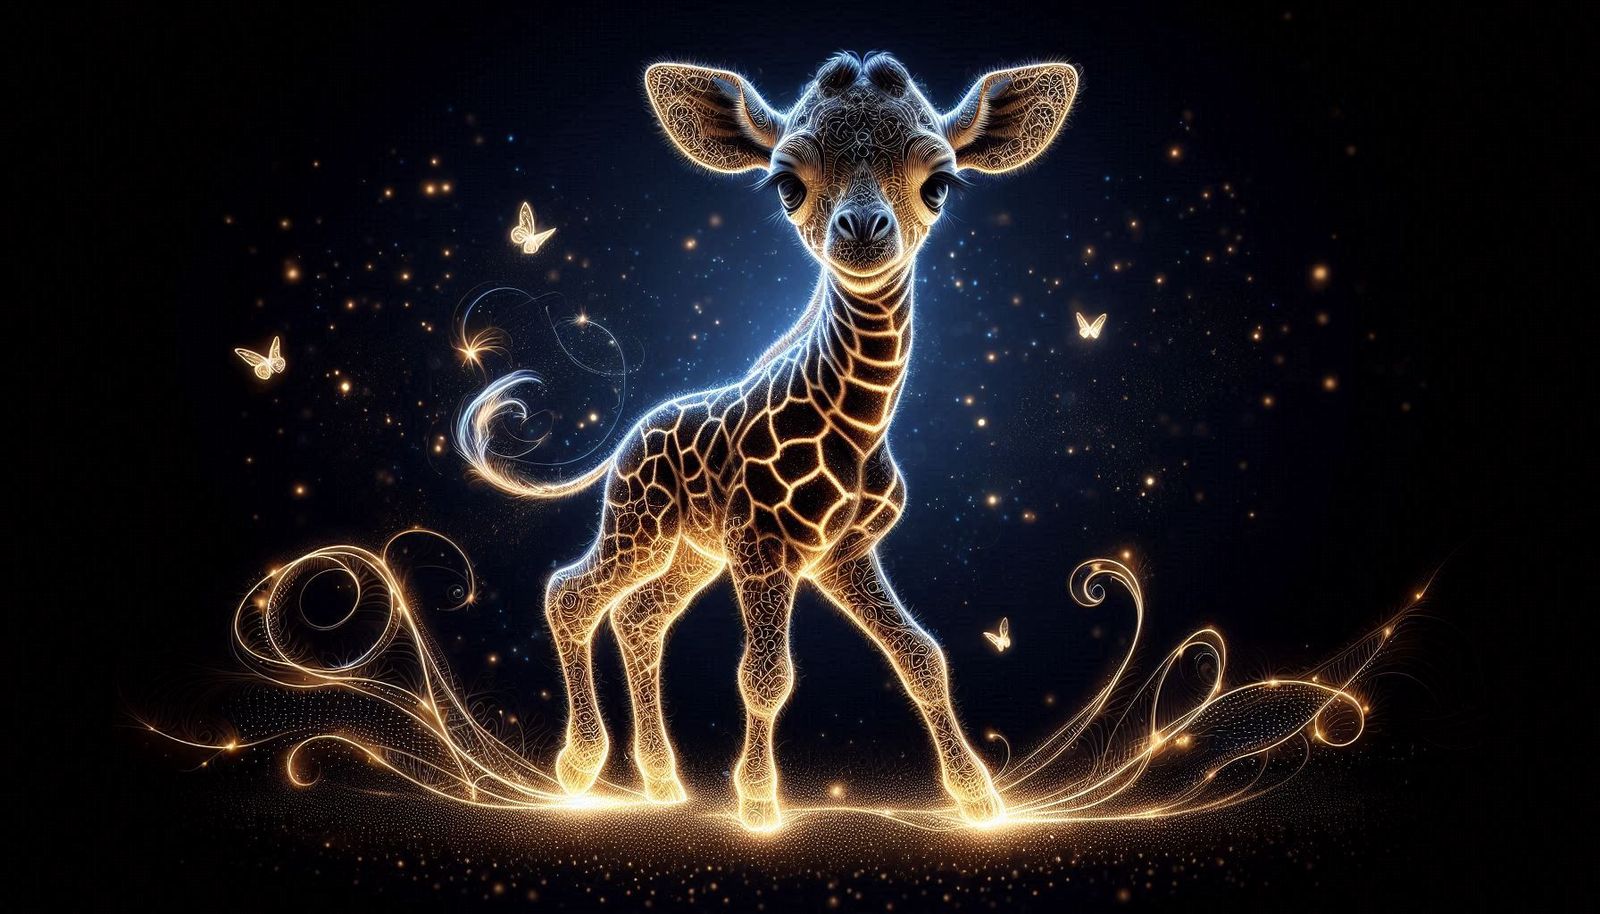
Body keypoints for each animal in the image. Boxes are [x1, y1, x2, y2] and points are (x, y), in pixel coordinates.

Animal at [458, 51, 1079, 832]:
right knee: (571, 592)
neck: (860, 427)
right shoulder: (763, 547)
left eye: (938, 183)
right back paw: (578, 767)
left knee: (638, 616)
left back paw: (662, 781)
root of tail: (628, 438)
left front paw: (979, 800)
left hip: (692, 553)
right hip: (642, 529)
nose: (862, 230)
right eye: (789, 185)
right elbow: (765, 675)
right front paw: (757, 803)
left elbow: (923, 658)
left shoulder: (844, 554)